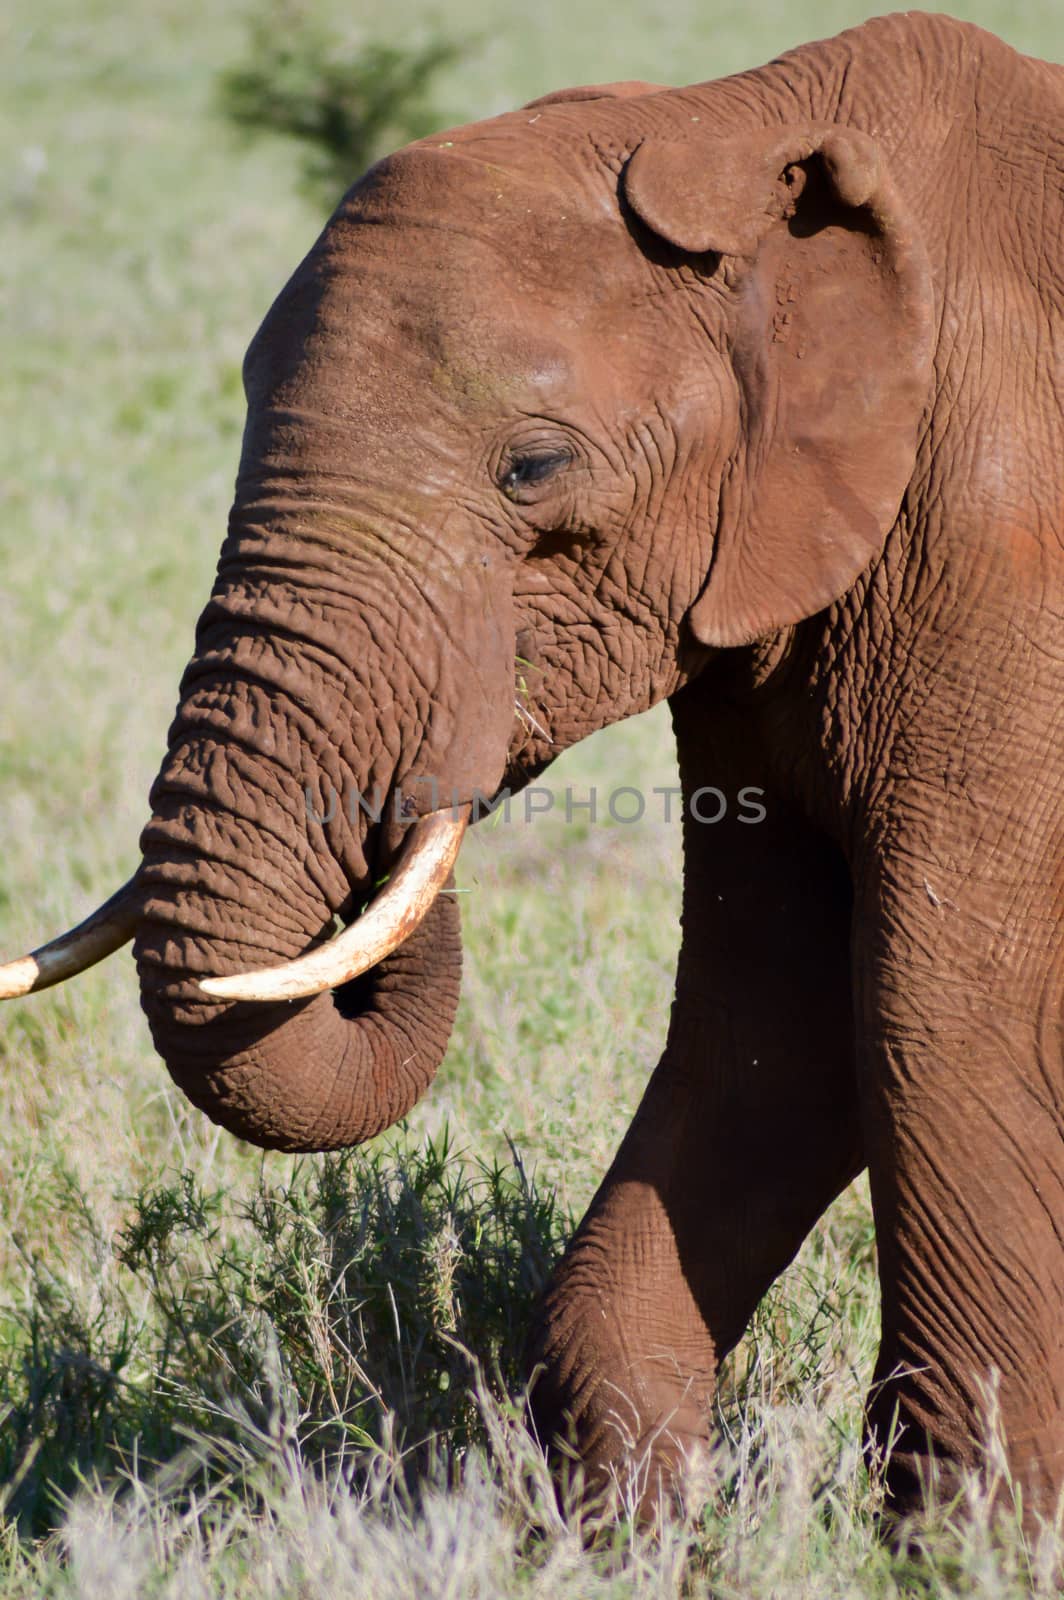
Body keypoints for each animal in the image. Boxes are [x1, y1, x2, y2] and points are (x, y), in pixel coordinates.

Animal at [2, 12, 1062, 1529]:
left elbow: (937, 1019)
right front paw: (630, 1537)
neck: (735, 127)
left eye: (534, 469)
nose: (408, 791)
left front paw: (966, 1540)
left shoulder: (1004, 552)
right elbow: (775, 1014)